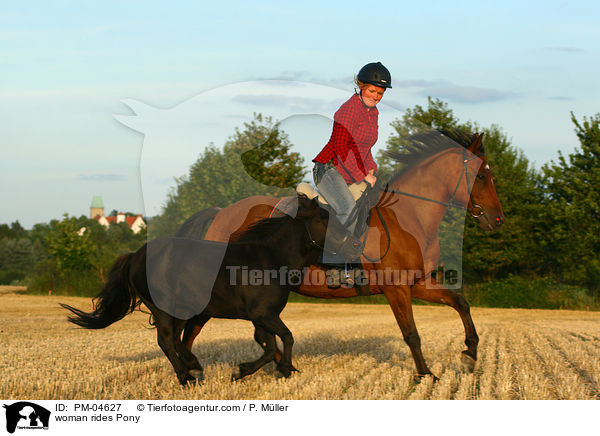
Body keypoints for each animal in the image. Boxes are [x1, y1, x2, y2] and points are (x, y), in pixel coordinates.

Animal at [61, 198, 364, 384]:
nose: (356, 247)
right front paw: (278, 370)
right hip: (164, 309)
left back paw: (193, 366)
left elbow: (269, 346)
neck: (271, 258)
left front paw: (248, 371)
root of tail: (135, 255)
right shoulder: (264, 314)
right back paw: (186, 377)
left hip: (182, 310)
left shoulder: (260, 317)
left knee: (178, 341)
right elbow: (286, 338)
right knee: (167, 341)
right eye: (325, 219)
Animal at [177, 129, 502, 378]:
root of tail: (221, 213)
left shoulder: (418, 283)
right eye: (481, 176)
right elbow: (411, 333)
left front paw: (470, 355)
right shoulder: (396, 288)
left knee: (254, 335)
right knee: (199, 328)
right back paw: (192, 370)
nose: (498, 220)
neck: (410, 217)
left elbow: (461, 303)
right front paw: (426, 375)